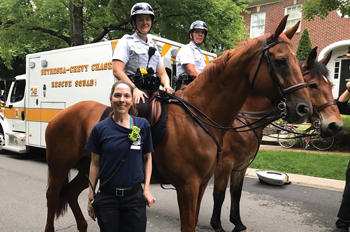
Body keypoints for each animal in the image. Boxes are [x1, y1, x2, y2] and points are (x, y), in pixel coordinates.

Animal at [44, 15, 312, 231]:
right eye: (280, 61)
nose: (303, 108)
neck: (200, 116)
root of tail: (58, 115)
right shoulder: (188, 186)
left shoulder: (202, 184)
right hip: (58, 167)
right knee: (52, 197)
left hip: (88, 167)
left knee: (70, 193)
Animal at [209, 47, 344, 232]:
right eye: (313, 85)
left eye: (330, 85)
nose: (335, 125)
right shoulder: (224, 164)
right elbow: (219, 194)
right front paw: (217, 225)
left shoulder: (241, 164)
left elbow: (236, 193)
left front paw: (238, 223)